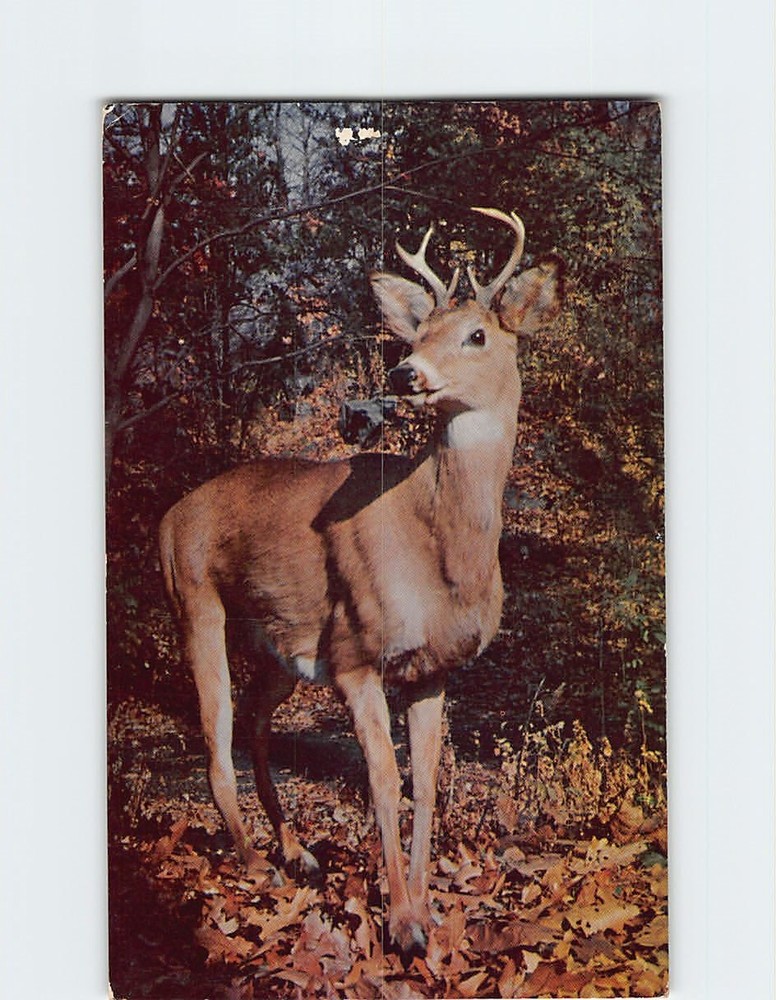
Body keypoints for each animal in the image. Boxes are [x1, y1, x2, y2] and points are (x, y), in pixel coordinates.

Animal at [159, 207, 561, 955]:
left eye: (477, 333)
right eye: (416, 333)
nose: (405, 372)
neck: (439, 553)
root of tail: (167, 517)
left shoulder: (433, 668)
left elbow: (426, 783)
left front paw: (427, 907)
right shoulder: (355, 656)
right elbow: (381, 783)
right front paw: (401, 924)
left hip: (278, 644)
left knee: (253, 722)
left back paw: (298, 851)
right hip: (194, 600)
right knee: (215, 738)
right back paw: (256, 860)